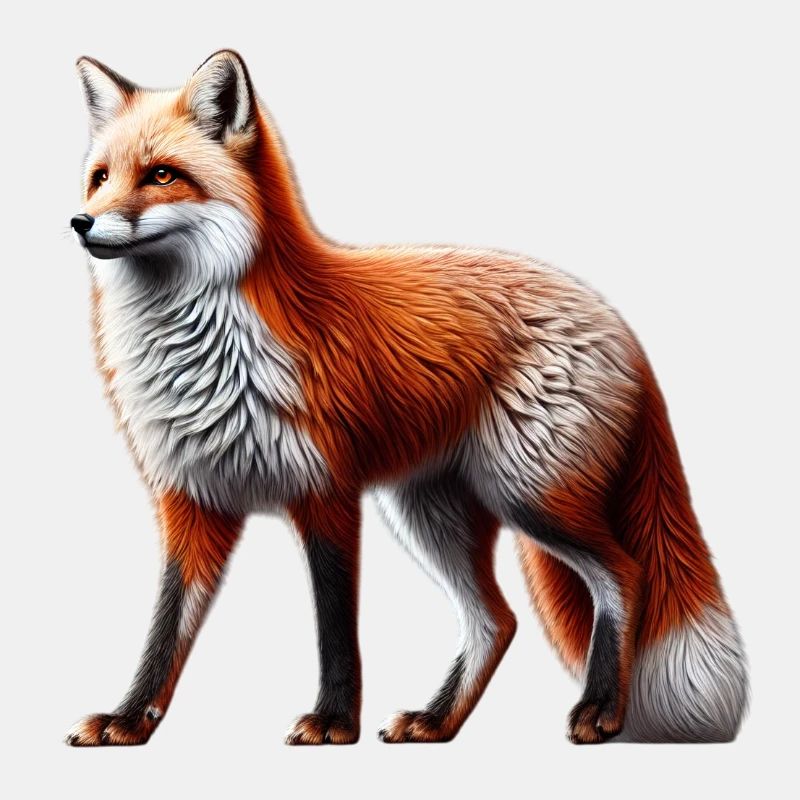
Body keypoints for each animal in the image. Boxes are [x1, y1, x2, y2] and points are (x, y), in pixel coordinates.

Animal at [66, 50, 747, 747]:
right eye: (100, 178)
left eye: (162, 175)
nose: (80, 222)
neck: (209, 355)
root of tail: (613, 318)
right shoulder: (191, 500)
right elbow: (164, 630)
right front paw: (128, 719)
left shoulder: (327, 492)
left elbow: (336, 627)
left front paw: (334, 722)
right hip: (429, 512)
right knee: (496, 620)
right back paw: (437, 720)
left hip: (531, 497)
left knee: (623, 575)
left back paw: (601, 709)